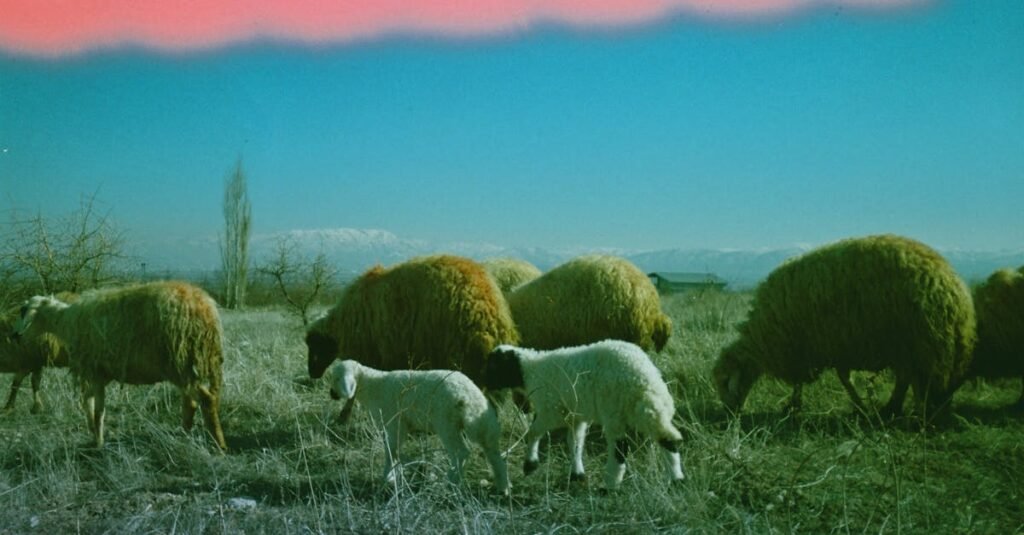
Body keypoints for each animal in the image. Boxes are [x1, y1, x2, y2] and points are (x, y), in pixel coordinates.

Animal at [13, 282, 227, 450]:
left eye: (25, 311)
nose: (16, 336)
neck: (66, 322)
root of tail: (206, 308)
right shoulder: (100, 374)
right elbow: (87, 401)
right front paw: (92, 432)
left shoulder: (95, 370)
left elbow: (99, 411)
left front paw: (98, 442)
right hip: (185, 365)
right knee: (191, 402)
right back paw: (185, 434)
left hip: (179, 362)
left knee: (206, 399)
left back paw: (219, 445)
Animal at [327, 359, 510, 494]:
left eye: (336, 378)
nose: (331, 394)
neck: (374, 386)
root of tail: (470, 398)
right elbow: (395, 450)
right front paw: (393, 475)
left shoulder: (394, 422)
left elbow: (391, 450)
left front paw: (387, 477)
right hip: (483, 424)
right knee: (493, 453)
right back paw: (503, 487)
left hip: (446, 423)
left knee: (461, 452)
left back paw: (449, 482)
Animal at [482, 340, 685, 489]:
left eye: (493, 366)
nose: (484, 384)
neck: (530, 371)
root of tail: (644, 378)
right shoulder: (575, 417)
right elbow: (575, 444)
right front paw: (577, 474)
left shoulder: (551, 410)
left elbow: (533, 433)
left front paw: (530, 465)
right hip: (648, 409)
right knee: (666, 437)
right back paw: (676, 479)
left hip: (614, 411)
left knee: (620, 448)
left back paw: (610, 485)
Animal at [712, 234, 976, 420]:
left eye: (725, 382)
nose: (728, 414)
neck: (763, 336)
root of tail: (956, 291)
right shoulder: (830, 346)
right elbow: (838, 377)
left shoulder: (808, 347)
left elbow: (821, 379)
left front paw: (795, 406)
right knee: (906, 378)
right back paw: (894, 409)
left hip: (916, 342)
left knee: (907, 378)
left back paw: (898, 410)